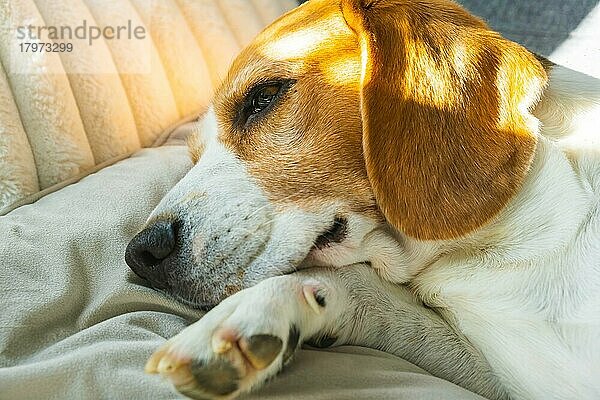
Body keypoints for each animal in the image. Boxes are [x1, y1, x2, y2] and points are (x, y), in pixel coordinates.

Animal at [124, 0, 596, 398]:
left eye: (264, 96)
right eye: (193, 155)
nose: (141, 253)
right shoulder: (515, 371)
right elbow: (363, 287)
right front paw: (255, 312)